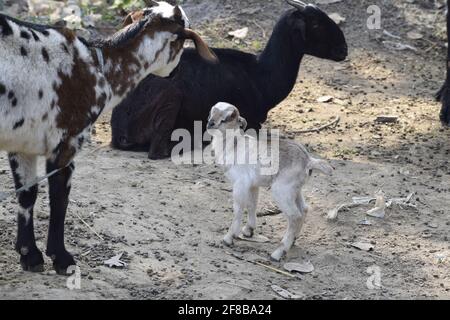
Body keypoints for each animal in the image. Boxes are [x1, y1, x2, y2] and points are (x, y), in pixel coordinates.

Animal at [0, 1, 218, 274]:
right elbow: (60, 199)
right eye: (183, 40)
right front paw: (61, 258)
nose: (176, 72)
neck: (99, 65)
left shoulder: (22, 142)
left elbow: (27, 194)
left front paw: (29, 255)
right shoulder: (67, 140)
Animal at [111, 0, 348, 159]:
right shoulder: (251, 122)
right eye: (316, 25)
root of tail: (119, 129)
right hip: (171, 97)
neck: (260, 74)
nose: (343, 50)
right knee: (158, 151)